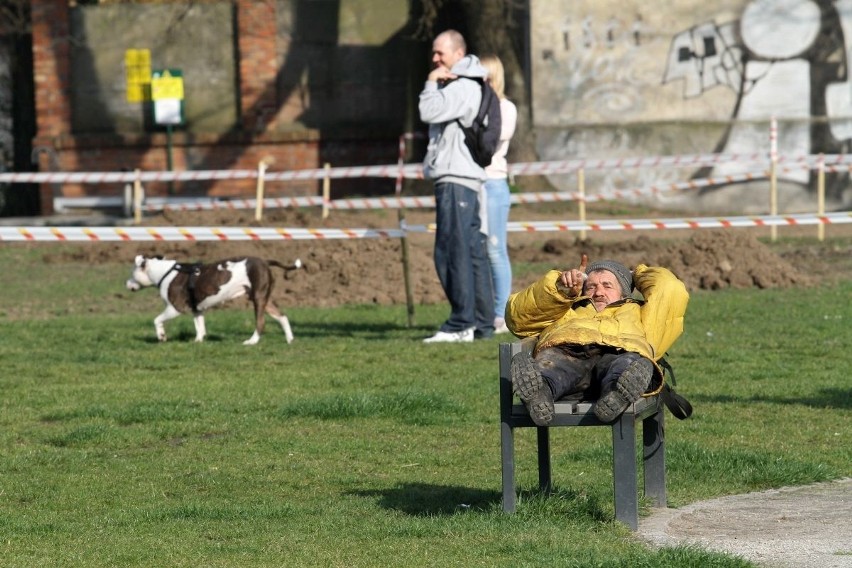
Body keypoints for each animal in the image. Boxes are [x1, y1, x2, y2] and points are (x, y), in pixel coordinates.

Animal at [125, 255, 302, 344]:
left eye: (132, 273)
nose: (127, 283)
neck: (165, 273)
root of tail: (265, 261)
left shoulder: (175, 308)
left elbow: (157, 320)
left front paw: (161, 336)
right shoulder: (197, 309)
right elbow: (200, 327)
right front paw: (198, 341)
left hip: (258, 298)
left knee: (261, 322)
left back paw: (252, 341)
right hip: (263, 298)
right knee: (282, 316)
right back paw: (289, 339)